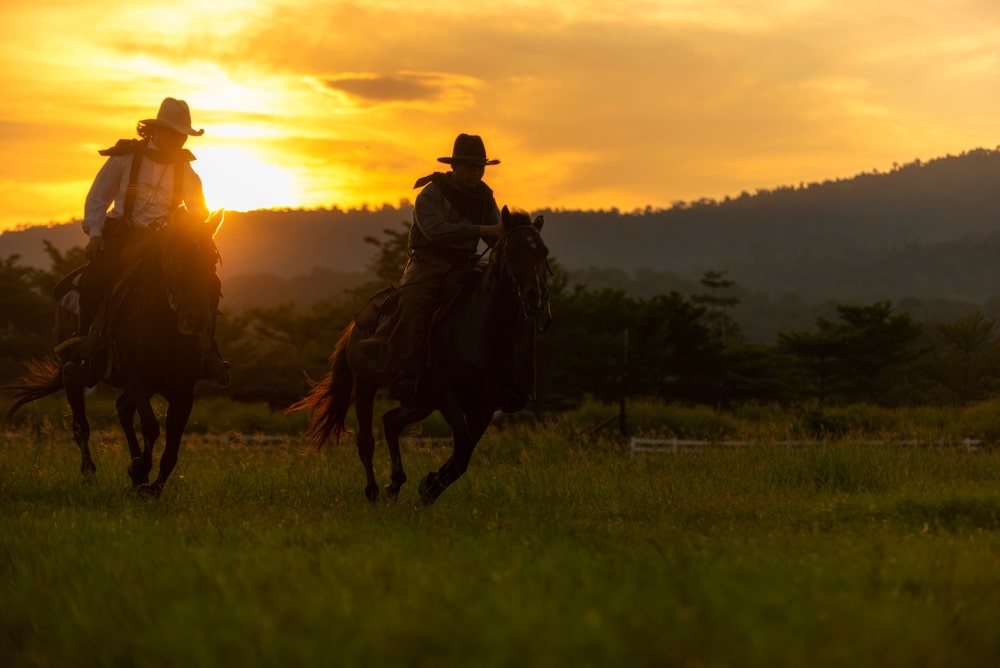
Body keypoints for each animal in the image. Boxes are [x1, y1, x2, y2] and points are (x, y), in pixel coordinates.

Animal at [1, 209, 224, 496]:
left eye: (212, 259)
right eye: (176, 258)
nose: (195, 319)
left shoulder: (183, 389)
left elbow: (172, 446)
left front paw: (150, 485)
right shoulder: (134, 376)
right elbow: (151, 427)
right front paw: (140, 469)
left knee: (123, 410)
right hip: (73, 375)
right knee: (80, 425)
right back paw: (89, 474)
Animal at [290, 206, 552, 504]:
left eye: (543, 251)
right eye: (513, 250)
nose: (536, 295)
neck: (480, 330)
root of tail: (359, 321)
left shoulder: (485, 405)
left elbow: (464, 453)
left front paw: (429, 485)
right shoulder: (447, 396)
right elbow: (462, 446)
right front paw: (429, 485)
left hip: (420, 402)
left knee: (391, 422)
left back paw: (395, 483)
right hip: (367, 385)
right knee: (366, 440)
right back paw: (373, 493)